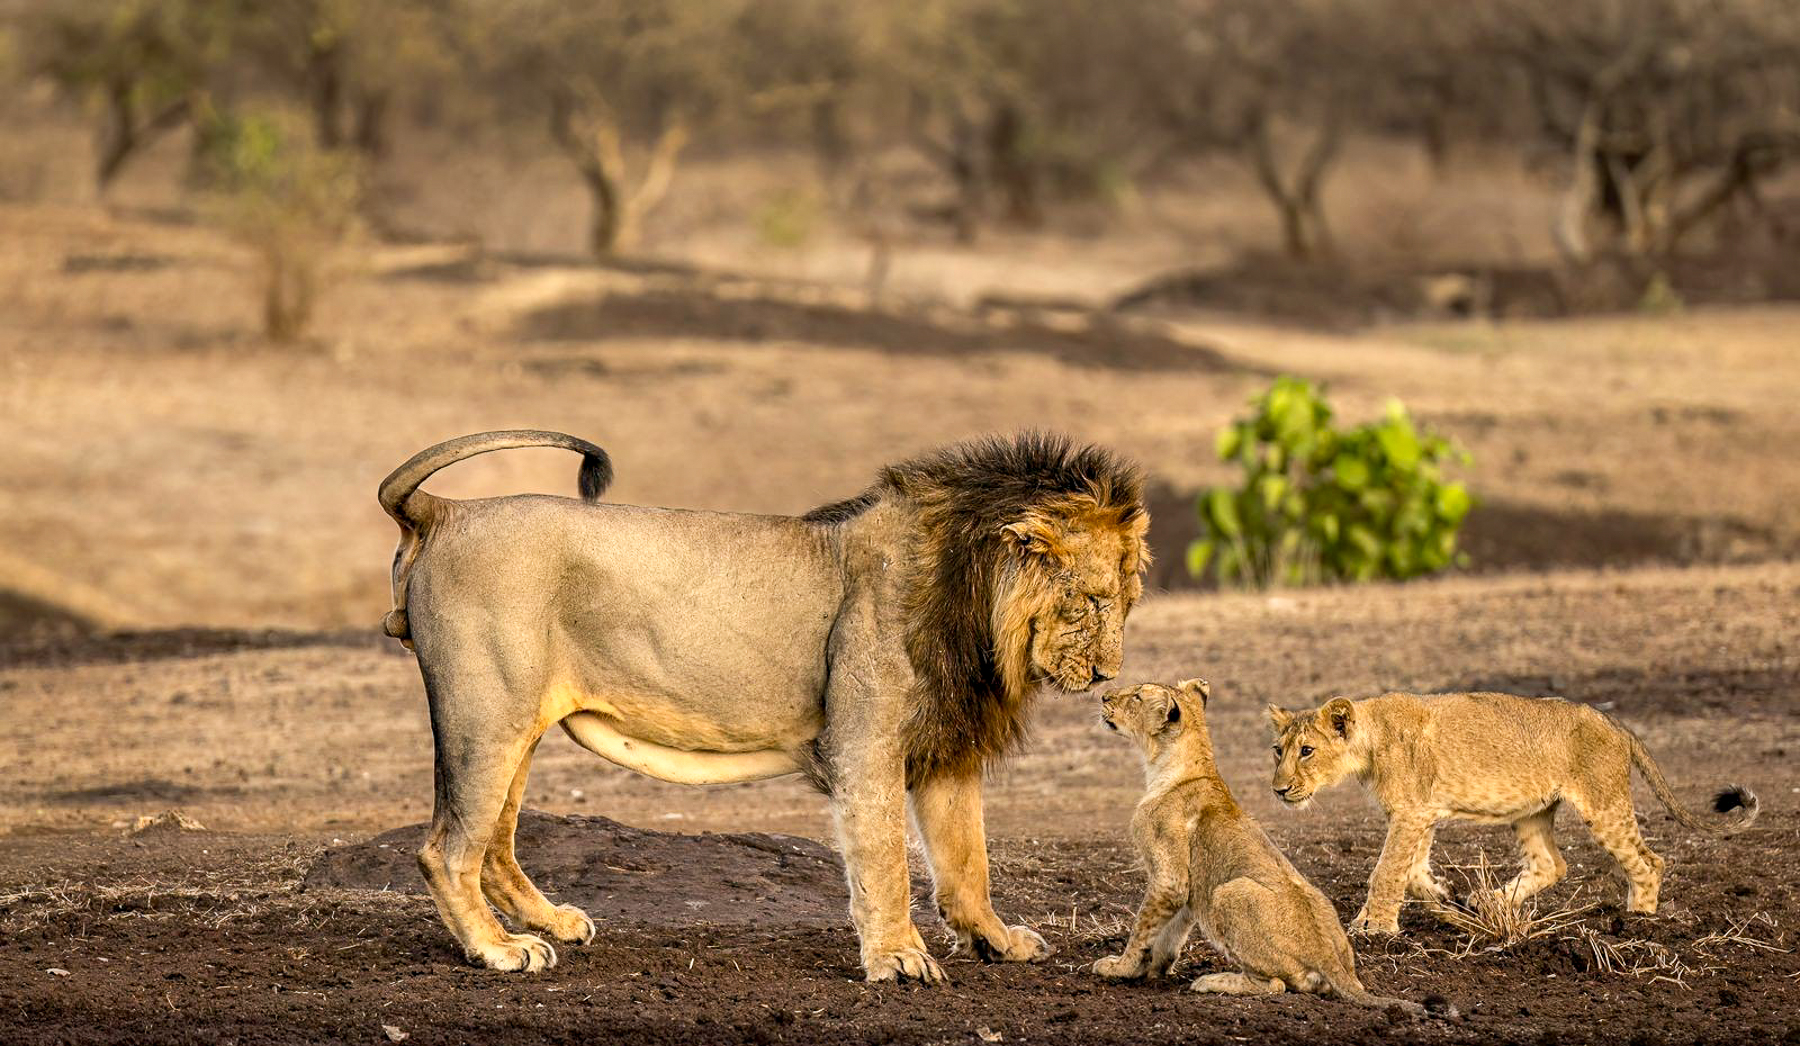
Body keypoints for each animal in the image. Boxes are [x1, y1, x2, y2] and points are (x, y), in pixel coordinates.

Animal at [377, 430, 1149, 981]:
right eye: (1092, 601)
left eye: (1128, 601)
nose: (1108, 674)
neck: (973, 599)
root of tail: (447, 512)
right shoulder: (865, 745)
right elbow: (885, 861)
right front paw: (898, 960)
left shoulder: (945, 747)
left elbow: (967, 862)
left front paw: (997, 941)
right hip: (487, 716)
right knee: (446, 850)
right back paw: (499, 951)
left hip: (519, 725)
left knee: (495, 845)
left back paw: (550, 924)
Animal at [1094, 680, 1434, 1017]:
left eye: (1137, 696)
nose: (1104, 696)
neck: (1171, 766)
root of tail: (1330, 958)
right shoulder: (1187, 890)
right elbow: (1169, 935)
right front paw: (1151, 970)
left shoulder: (1170, 878)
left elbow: (1143, 927)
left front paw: (1120, 967)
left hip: (1228, 891)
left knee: (1275, 984)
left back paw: (1212, 981)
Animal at [1268, 692, 1760, 934]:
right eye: (1278, 750)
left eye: (1307, 751)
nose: (1278, 790)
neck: (1370, 740)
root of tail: (1614, 723)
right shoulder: (1422, 813)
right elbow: (1414, 869)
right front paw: (1445, 899)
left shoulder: (1411, 812)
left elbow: (1387, 871)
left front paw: (1375, 928)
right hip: (1533, 811)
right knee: (1552, 864)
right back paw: (1491, 902)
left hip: (1603, 804)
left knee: (1649, 861)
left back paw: (1639, 921)